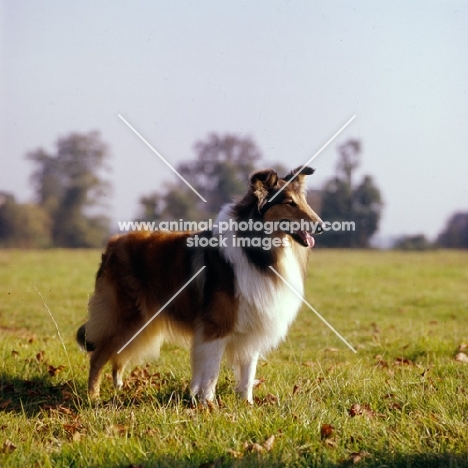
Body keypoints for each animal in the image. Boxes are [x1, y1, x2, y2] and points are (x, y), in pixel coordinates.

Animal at [78, 166, 324, 404]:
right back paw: (93, 398)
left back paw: (119, 388)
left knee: (118, 357)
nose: (321, 226)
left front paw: (247, 404)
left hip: (142, 322)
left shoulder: (252, 322)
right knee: (98, 357)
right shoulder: (216, 327)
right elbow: (211, 371)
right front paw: (207, 403)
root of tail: (112, 244)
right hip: (126, 318)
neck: (257, 252)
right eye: (289, 202)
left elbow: (248, 371)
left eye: (303, 200)